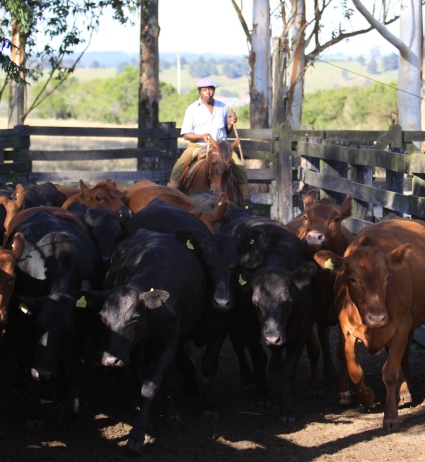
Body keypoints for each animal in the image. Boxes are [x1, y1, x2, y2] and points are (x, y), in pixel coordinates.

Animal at [5, 208, 102, 428]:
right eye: (38, 326)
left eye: (68, 331)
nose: (43, 373)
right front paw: (34, 414)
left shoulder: (87, 327)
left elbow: (77, 369)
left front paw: (70, 410)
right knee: (16, 345)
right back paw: (19, 384)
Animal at [79, 227, 207, 452]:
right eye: (103, 318)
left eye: (134, 319)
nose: (110, 361)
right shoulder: (134, 350)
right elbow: (142, 383)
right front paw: (145, 427)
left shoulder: (169, 345)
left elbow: (151, 385)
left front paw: (138, 434)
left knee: (165, 375)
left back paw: (171, 410)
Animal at [222, 215, 314, 424]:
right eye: (255, 302)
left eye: (288, 300)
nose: (272, 337)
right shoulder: (250, 329)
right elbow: (258, 359)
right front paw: (263, 395)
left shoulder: (301, 331)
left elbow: (289, 369)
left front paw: (286, 410)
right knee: (238, 347)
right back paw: (247, 378)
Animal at [284, 189, 354, 388]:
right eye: (307, 217)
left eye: (336, 219)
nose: (314, 237)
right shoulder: (306, 314)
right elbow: (313, 349)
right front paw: (315, 385)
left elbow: (342, 351)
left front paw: (343, 387)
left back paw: (330, 369)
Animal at [312, 218, 425, 432]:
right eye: (353, 279)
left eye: (387, 277)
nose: (377, 318)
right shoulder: (347, 331)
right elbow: (355, 370)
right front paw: (367, 398)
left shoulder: (401, 326)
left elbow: (390, 372)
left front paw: (391, 416)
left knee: (402, 356)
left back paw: (404, 391)